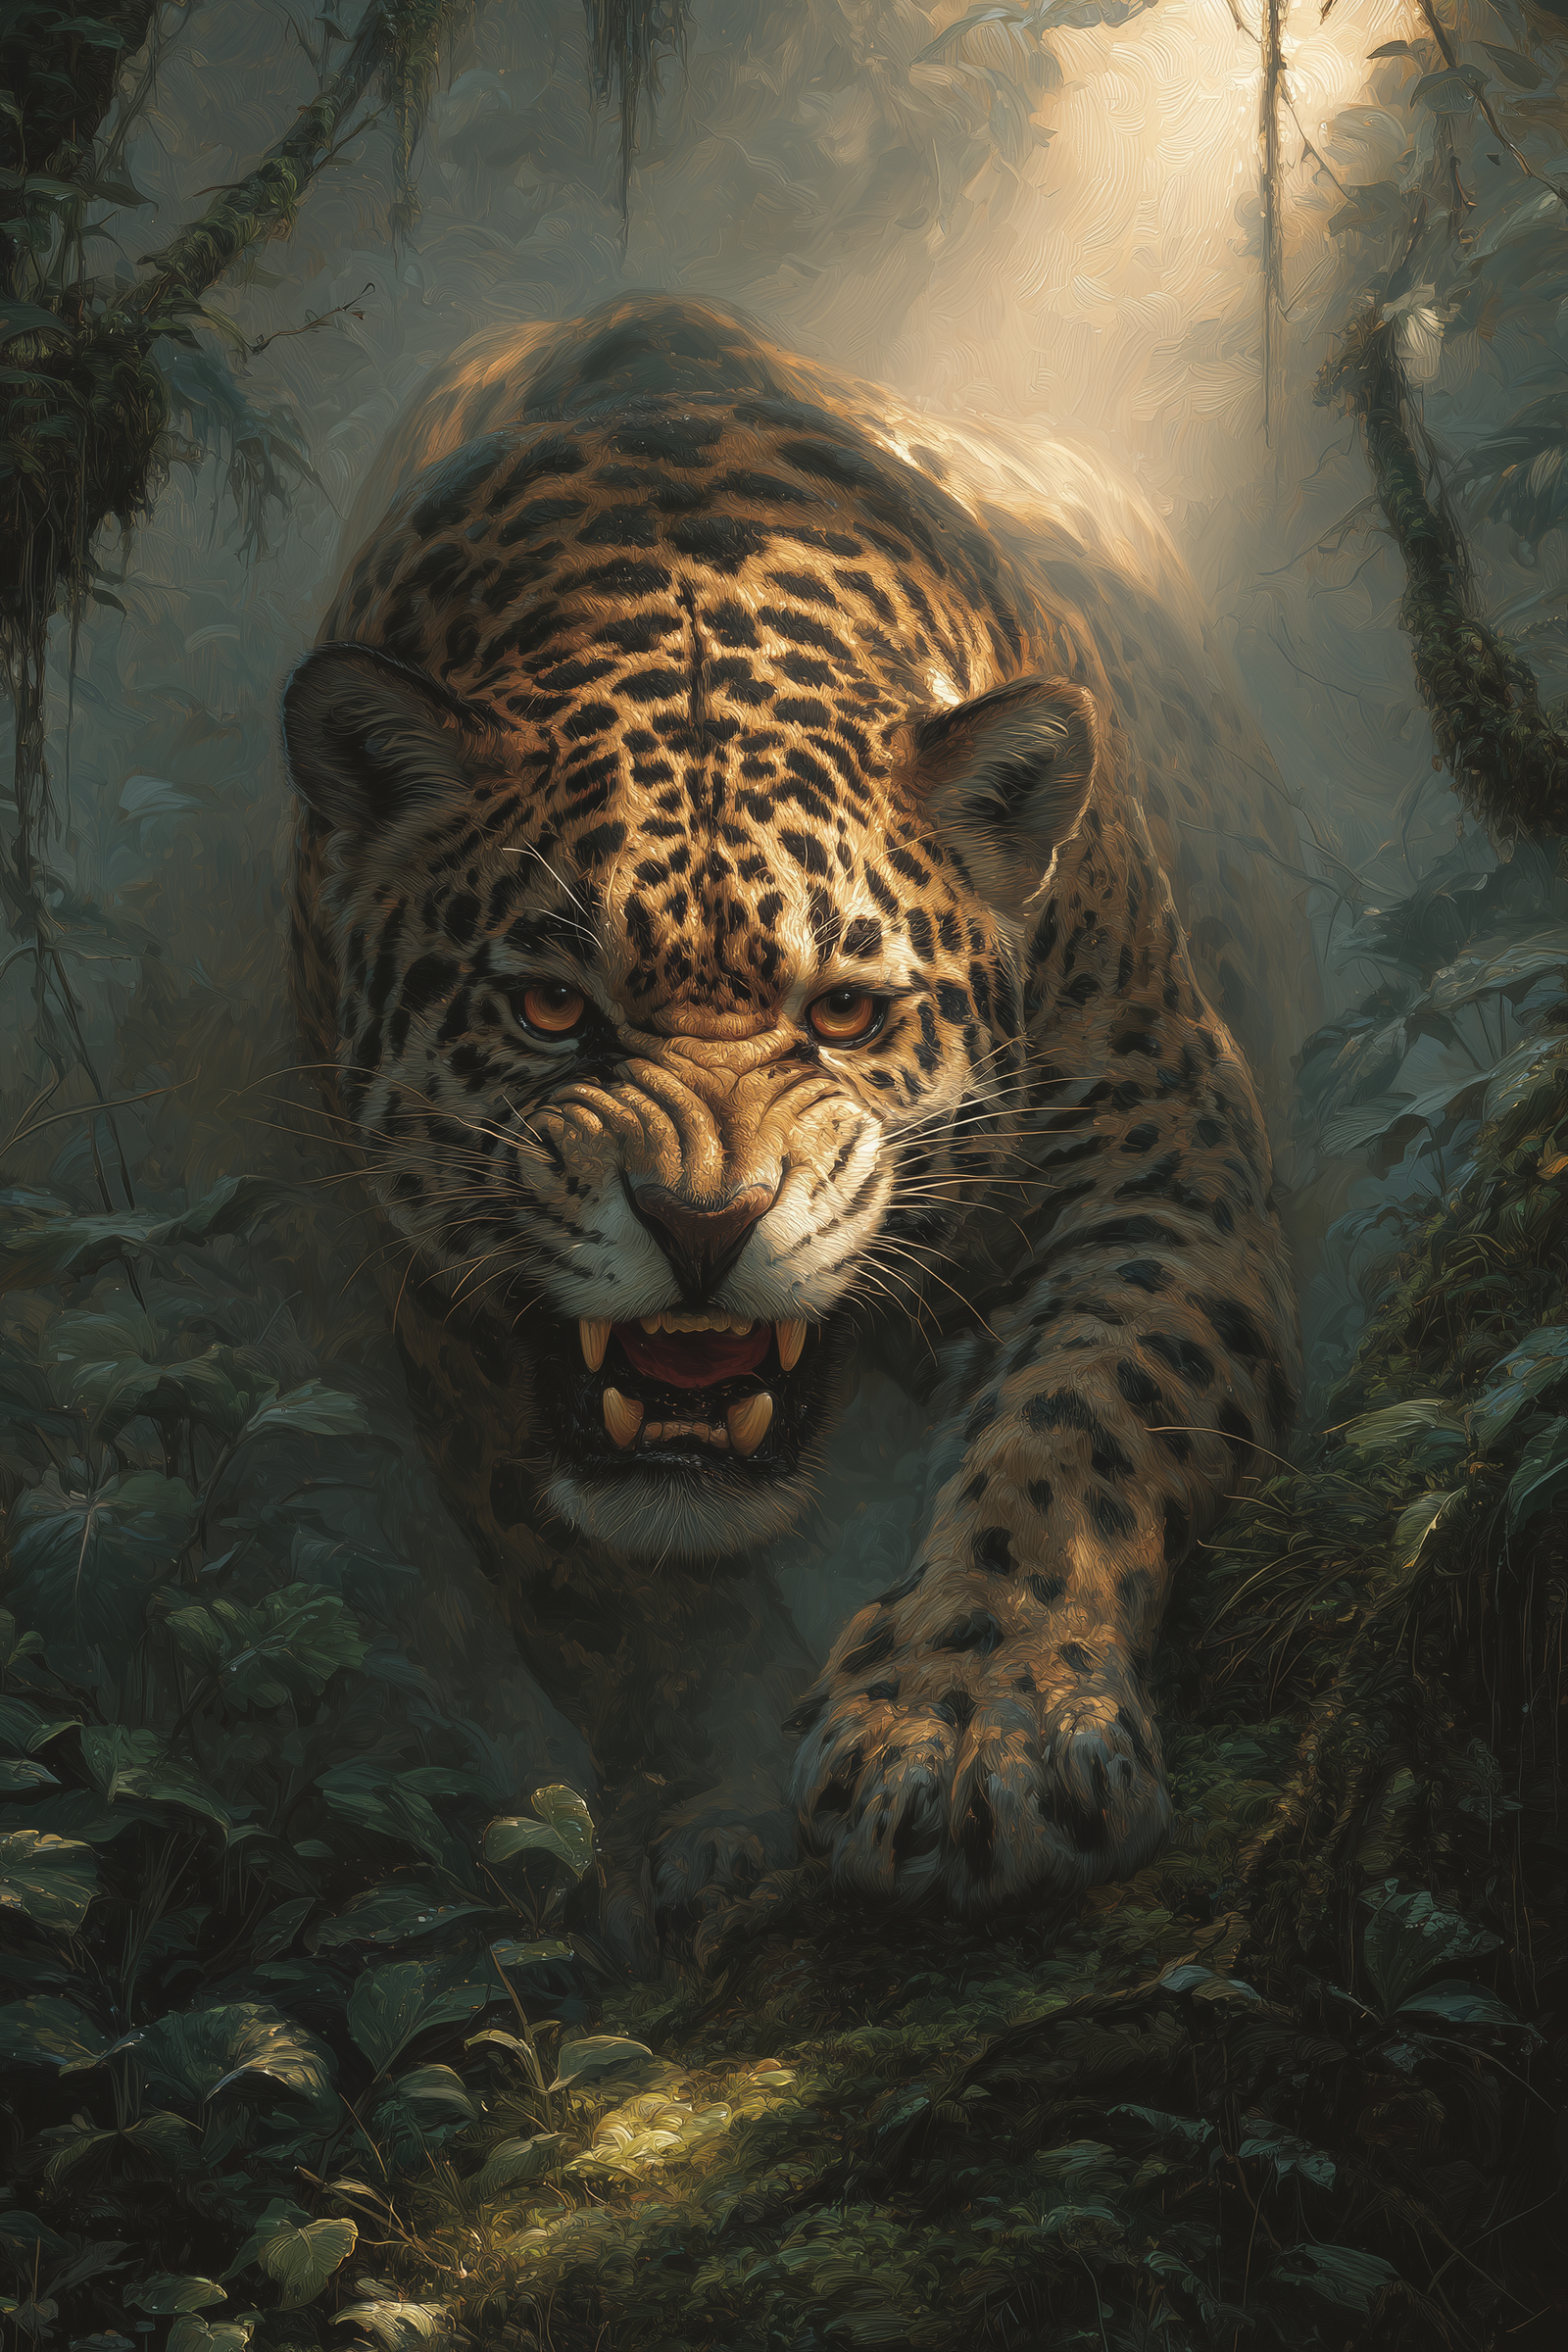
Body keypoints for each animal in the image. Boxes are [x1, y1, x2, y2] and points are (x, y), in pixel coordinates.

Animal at [284, 293, 1309, 1962]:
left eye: (845, 1013)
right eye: (551, 1009)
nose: (701, 1227)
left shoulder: (1158, 1171)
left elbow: (1076, 1424)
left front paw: (973, 1729)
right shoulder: (448, 1300)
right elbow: (607, 1595)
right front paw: (703, 1822)